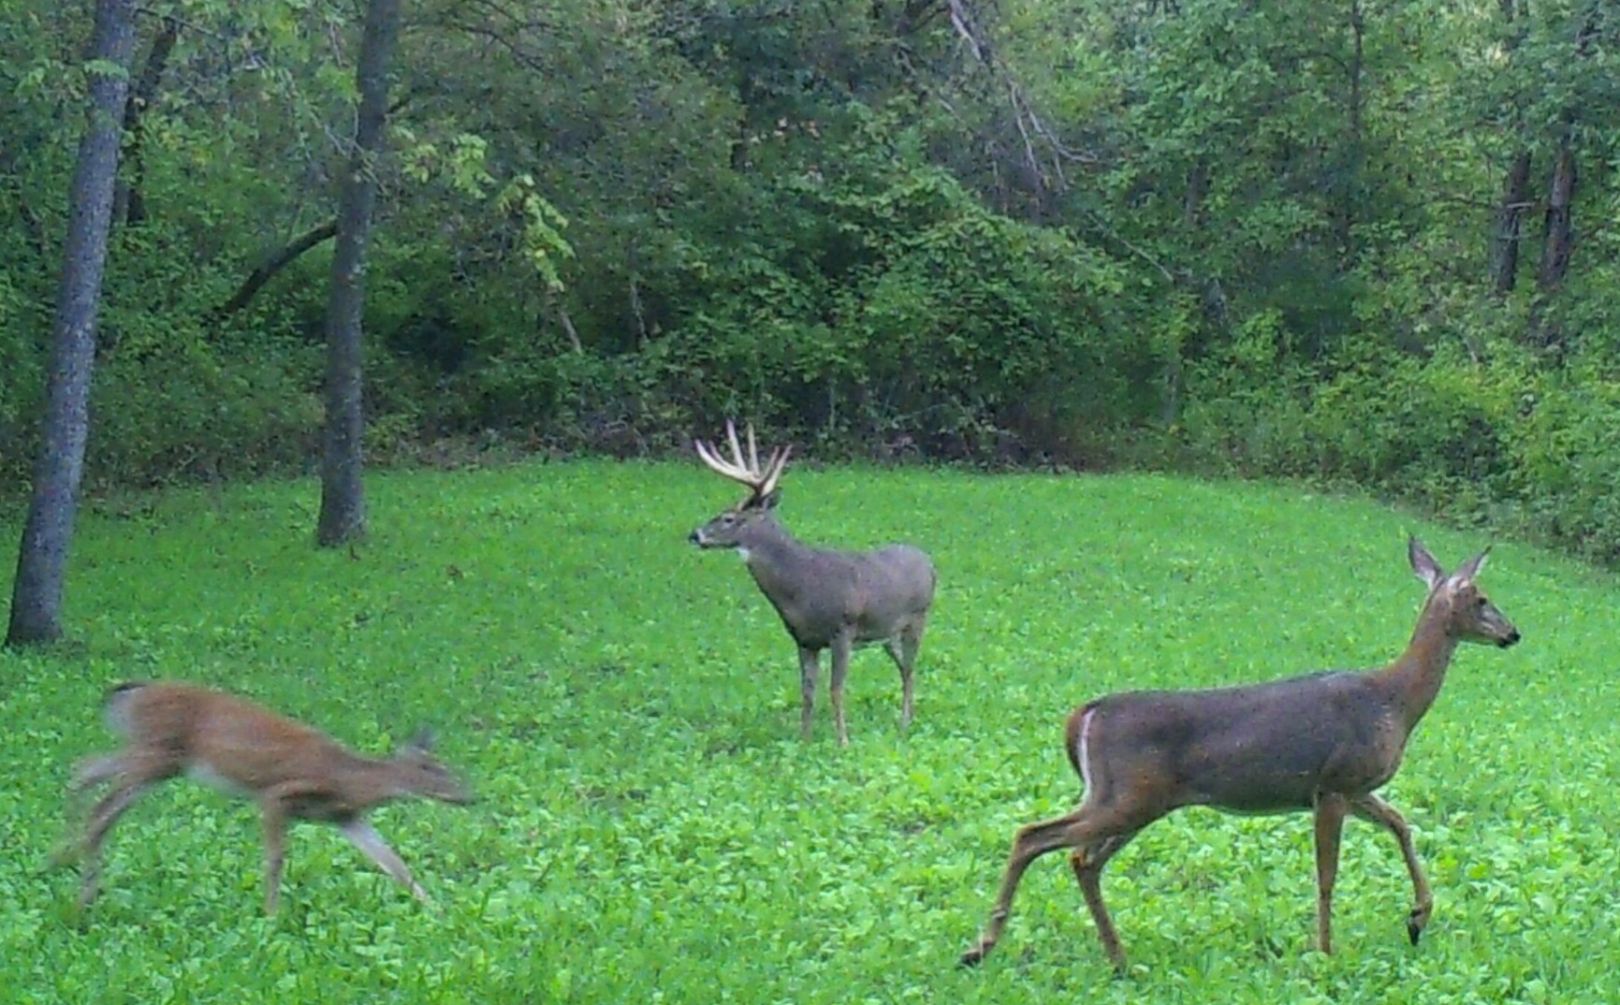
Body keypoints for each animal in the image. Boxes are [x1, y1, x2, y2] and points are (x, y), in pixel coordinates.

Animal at [55, 684, 473, 907]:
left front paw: (436, 910)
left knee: (85, 772)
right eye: (434, 770)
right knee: (100, 800)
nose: (470, 796)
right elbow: (275, 859)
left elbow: (395, 865)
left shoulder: (345, 818)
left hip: (156, 758)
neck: (350, 782)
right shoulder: (277, 795)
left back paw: (68, 864)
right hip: (158, 753)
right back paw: (77, 873)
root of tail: (127, 694)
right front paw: (272, 915)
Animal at [686, 421, 939, 742]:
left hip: (917, 618)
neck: (800, 587)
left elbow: (836, 689)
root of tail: (929, 563)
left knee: (909, 668)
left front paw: (843, 741)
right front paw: (804, 739)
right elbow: (807, 691)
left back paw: (904, 723)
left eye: (729, 518)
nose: (694, 534)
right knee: (906, 668)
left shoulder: (843, 630)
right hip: (886, 632)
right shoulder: (804, 639)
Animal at [959, 541, 1516, 972]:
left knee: (1081, 858)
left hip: (1128, 799)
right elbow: (1327, 874)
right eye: (1482, 598)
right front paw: (1324, 952)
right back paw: (983, 947)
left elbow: (1401, 825)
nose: (1514, 634)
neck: (1394, 701)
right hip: (1129, 796)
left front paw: (1418, 918)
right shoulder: (1335, 782)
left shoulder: (1351, 788)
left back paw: (1116, 959)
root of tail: (1084, 715)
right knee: (1036, 836)